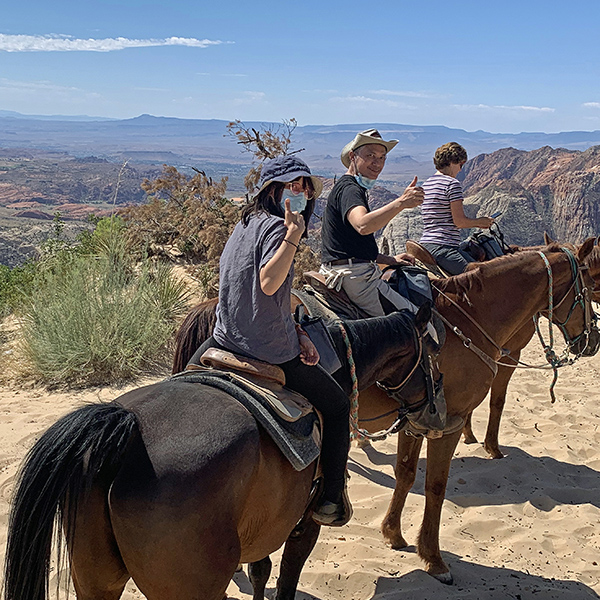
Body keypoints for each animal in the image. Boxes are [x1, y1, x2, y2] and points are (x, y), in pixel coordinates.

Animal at [4, 304, 436, 600]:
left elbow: (261, 570)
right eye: (431, 358)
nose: (431, 411)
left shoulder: (265, 521)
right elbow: (286, 579)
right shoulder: (303, 524)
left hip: (96, 580)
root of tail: (127, 431)